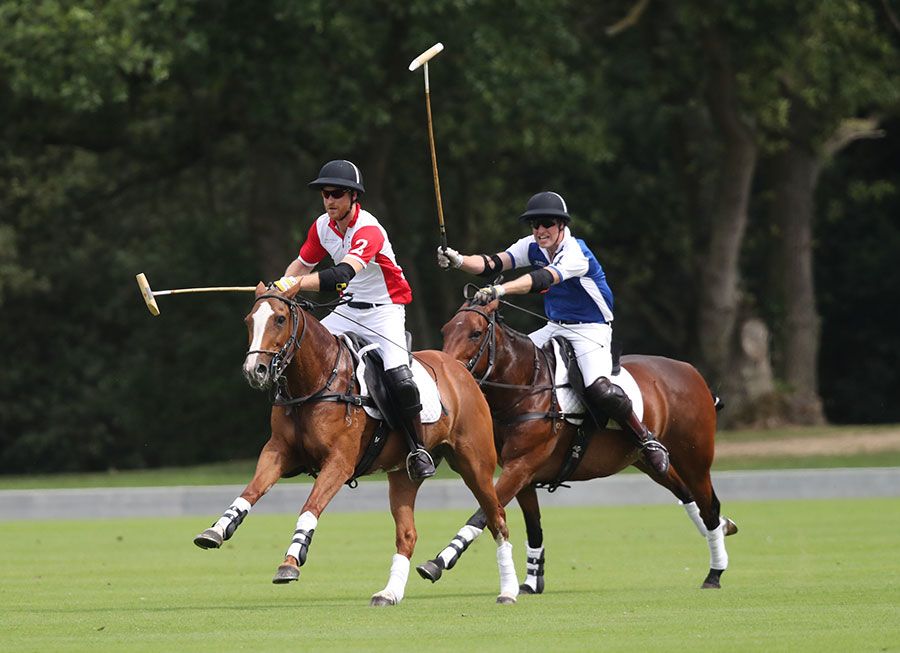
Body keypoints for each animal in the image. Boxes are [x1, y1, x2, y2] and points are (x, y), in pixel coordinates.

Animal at [195, 286, 520, 608]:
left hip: (474, 463)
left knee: (497, 519)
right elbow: (251, 490)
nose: (255, 370)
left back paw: (508, 591)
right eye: (249, 320)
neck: (316, 382)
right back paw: (389, 593)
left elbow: (310, 506)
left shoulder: (340, 462)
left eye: (279, 318)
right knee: (408, 534)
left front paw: (291, 561)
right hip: (403, 474)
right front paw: (216, 530)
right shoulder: (278, 451)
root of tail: (461, 370)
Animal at [414, 300, 740, 592]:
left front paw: (438, 562)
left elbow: (483, 513)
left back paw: (715, 572)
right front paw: (532, 581)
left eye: (476, 332)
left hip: (695, 456)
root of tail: (692, 372)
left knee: (709, 504)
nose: (447, 372)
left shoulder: (522, 466)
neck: (526, 387)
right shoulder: (522, 473)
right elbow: (533, 527)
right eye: (446, 330)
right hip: (647, 461)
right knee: (687, 495)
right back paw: (725, 528)